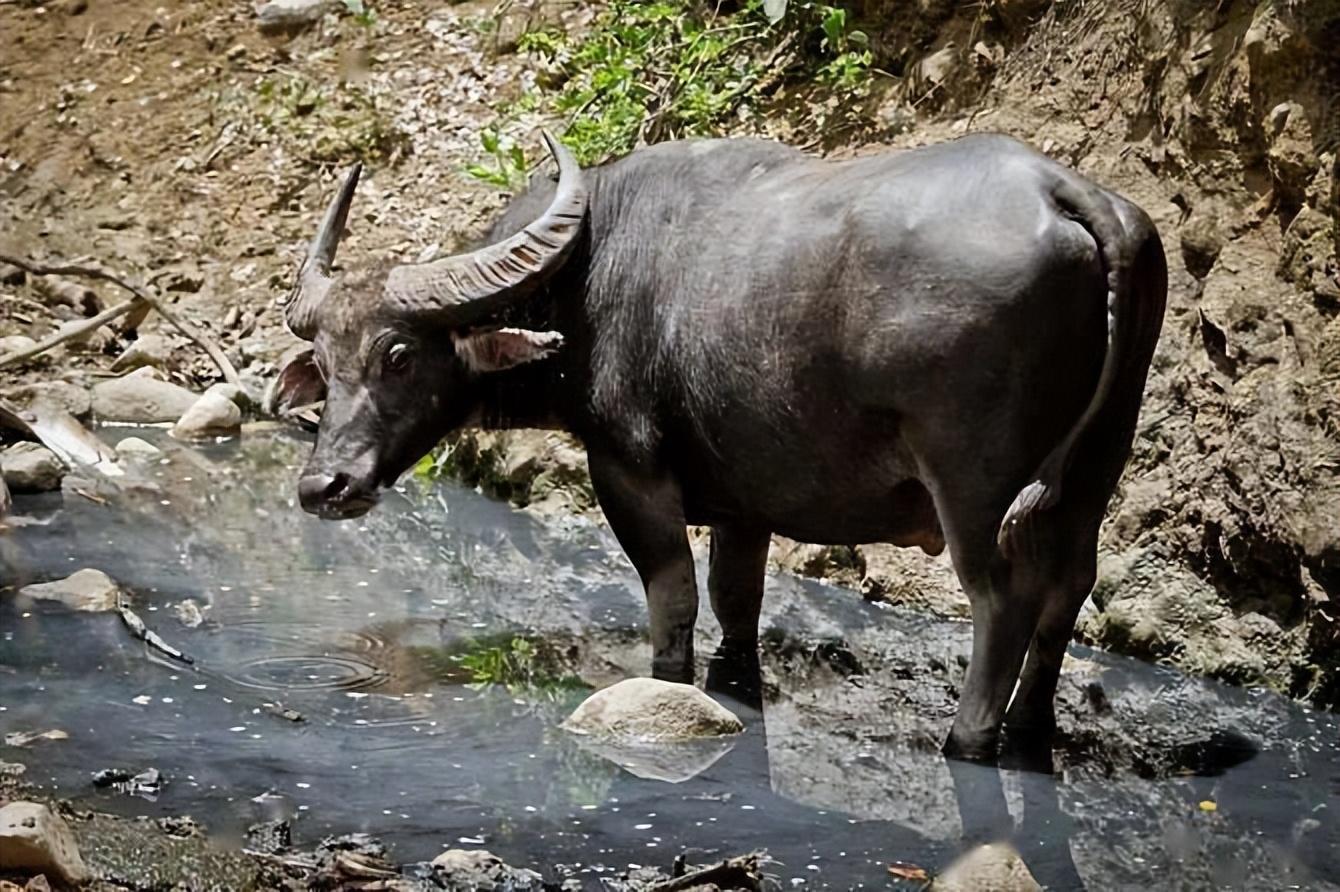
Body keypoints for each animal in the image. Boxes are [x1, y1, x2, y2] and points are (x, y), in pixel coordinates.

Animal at [272, 130, 1163, 755]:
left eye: (397, 354)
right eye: (323, 362)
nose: (324, 488)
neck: (588, 278)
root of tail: (1064, 190)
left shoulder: (628, 474)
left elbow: (673, 601)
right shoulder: (747, 502)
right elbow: (739, 601)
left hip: (973, 481)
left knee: (1003, 596)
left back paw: (970, 737)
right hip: (1099, 462)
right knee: (1070, 581)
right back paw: (1031, 726)